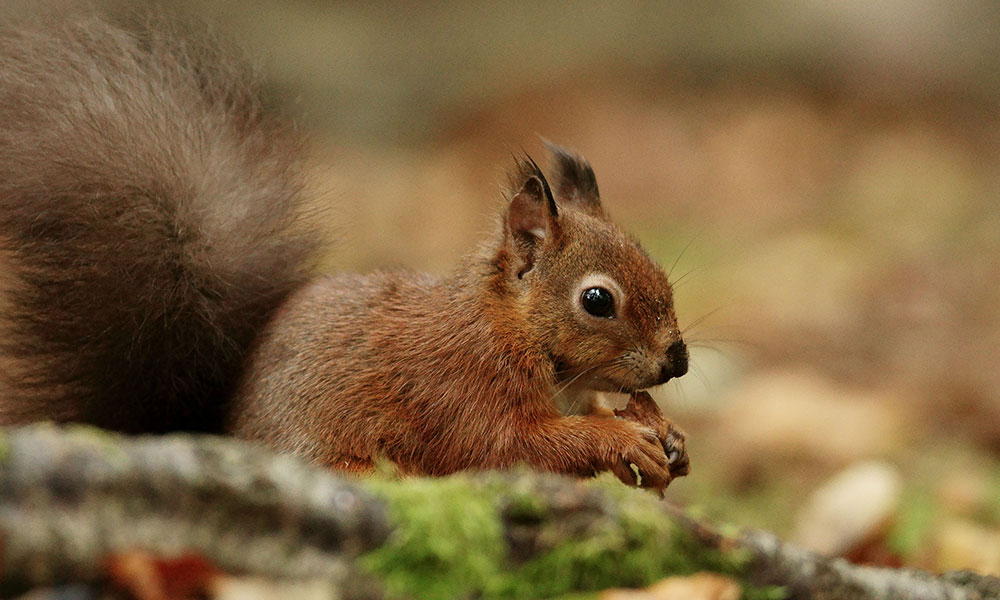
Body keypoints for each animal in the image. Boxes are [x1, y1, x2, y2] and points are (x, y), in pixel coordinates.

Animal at [0, 15, 688, 488]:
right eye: (597, 300)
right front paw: (620, 438)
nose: (678, 360)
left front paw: (663, 432)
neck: (510, 328)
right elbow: (511, 447)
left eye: (660, 272)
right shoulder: (463, 389)